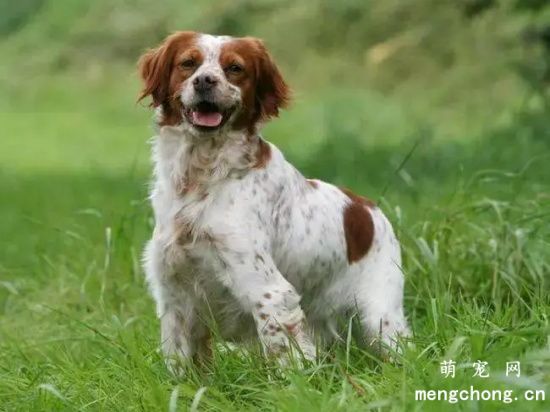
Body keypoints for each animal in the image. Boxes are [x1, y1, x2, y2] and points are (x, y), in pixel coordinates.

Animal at [140, 30, 412, 368]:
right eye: (188, 63)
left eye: (235, 68)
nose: (204, 81)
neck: (202, 179)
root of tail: (369, 208)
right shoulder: (175, 297)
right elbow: (179, 365)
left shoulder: (270, 292)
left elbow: (287, 360)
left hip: (382, 319)